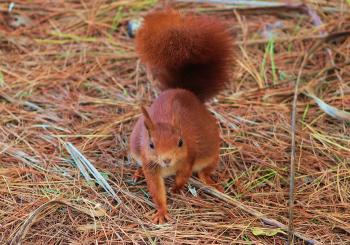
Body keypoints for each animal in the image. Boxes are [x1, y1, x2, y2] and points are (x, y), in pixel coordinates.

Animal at [128, 9, 232, 224]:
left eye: (180, 142)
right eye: (151, 144)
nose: (167, 160)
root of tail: (184, 91)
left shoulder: (190, 154)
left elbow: (185, 173)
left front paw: (177, 187)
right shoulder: (150, 164)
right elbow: (156, 190)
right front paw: (161, 211)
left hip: (211, 152)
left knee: (204, 170)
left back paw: (209, 180)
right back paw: (137, 171)